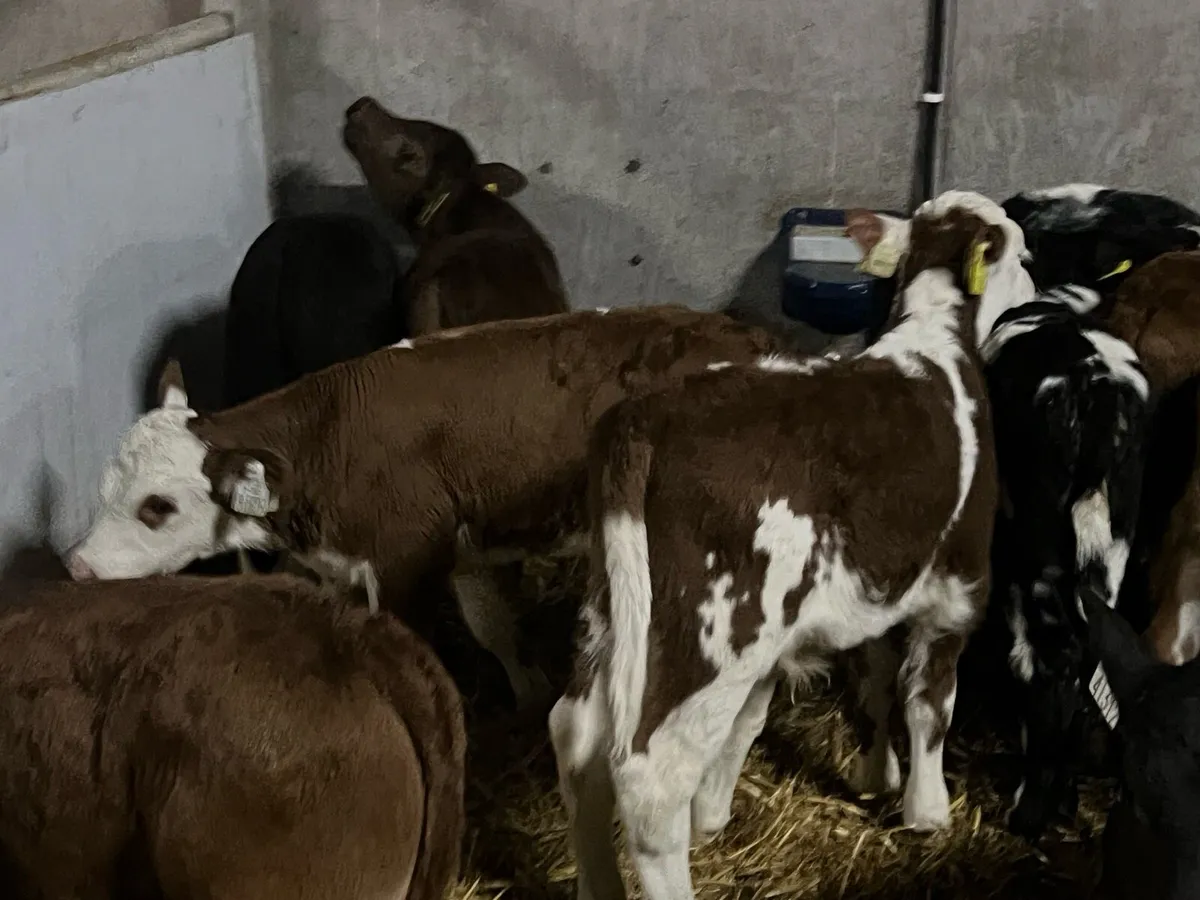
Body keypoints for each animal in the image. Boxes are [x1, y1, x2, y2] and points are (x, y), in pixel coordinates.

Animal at [62, 307, 786, 711]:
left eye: (158, 505)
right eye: (103, 488)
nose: (78, 568)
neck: (326, 441)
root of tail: (751, 337)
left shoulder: (404, 566)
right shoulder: (453, 552)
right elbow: (494, 626)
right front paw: (528, 692)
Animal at [547, 195, 1019, 900]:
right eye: (1023, 251)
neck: (935, 336)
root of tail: (648, 415)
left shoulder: (870, 585)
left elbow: (836, 692)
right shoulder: (959, 584)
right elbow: (930, 699)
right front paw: (928, 810)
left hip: (621, 608)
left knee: (575, 737)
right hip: (718, 626)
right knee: (650, 777)